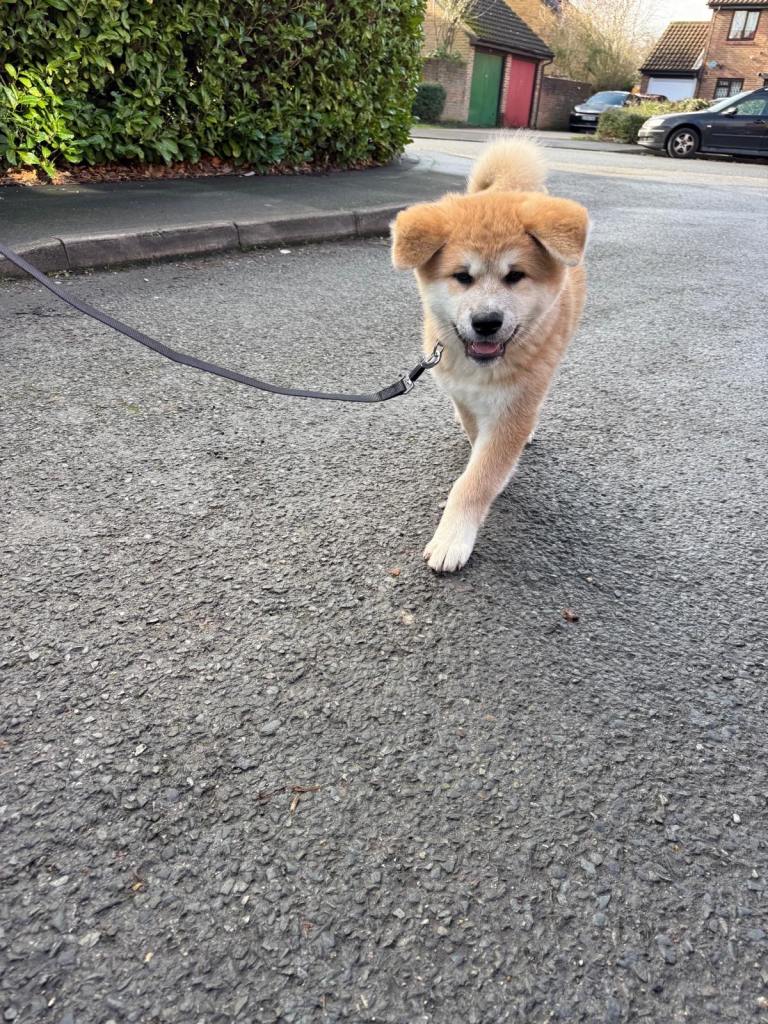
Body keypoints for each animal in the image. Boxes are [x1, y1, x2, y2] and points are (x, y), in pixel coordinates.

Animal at [391, 135, 589, 572]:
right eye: (462, 277)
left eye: (515, 276)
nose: (486, 321)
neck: (483, 368)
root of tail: (508, 187)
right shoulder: (462, 394)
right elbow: (473, 433)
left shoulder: (513, 409)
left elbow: (476, 480)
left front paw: (452, 537)